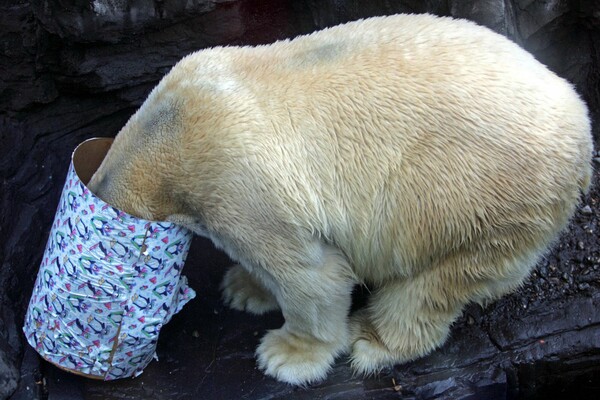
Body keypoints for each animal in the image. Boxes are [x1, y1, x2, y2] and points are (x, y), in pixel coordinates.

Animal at [88, 14, 592, 384]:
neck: (166, 131)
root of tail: (582, 132)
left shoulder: (237, 183)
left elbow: (311, 274)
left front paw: (285, 355)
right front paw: (243, 288)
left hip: (477, 200)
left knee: (428, 285)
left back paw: (373, 342)